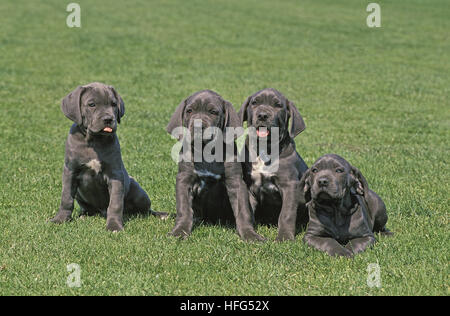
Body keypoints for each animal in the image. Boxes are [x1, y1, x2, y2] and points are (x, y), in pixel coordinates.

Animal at [50, 82, 167, 231]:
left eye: (113, 104)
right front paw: (60, 219)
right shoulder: (70, 171)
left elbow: (115, 204)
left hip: (139, 192)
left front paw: (114, 226)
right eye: (92, 104)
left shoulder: (115, 175)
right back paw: (84, 215)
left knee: (146, 210)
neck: (94, 140)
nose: (108, 119)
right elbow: (66, 197)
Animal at [166, 90, 266, 241]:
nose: (198, 127)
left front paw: (249, 234)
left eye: (213, 112)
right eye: (189, 111)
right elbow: (184, 209)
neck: (206, 151)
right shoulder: (184, 180)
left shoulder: (235, 182)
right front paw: (179, 231)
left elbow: (243, 210)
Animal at [239, 87, 310, 241]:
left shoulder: (289, 185)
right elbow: (246, 211)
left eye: (278, 105)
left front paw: (284, 237)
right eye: (254, 103)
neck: (264, 149)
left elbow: (286, 214)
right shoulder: (248, 186)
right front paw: (250, 234)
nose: (262, 115)